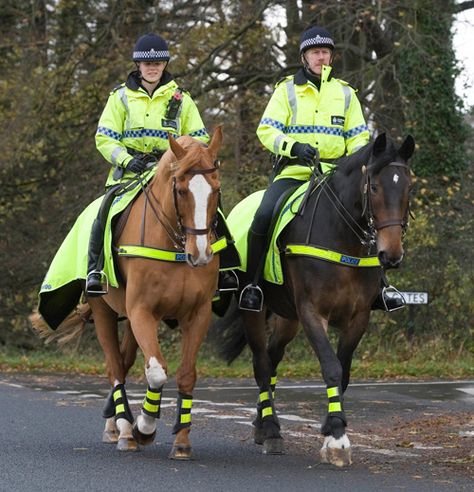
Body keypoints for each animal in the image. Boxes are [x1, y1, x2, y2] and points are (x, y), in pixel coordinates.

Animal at [34, 129, 223, 460]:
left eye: (216, 189)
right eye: (181, 189)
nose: (200, 254)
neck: (174, 246)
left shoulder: (196, 314)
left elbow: (185, 374)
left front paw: (181, 441)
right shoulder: (141, 312)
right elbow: (157, 372)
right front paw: (144, 427)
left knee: (124, 361)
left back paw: (115, 423)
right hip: (104, 313)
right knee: (114, 368)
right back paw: (123, 430)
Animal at [211, 134, 414, 466]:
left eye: (408, 187)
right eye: (373, 186)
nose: (391, 254)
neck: (342, 239)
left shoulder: (358, 317)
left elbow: (344, 371)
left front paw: (331, 428)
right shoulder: (312, 313)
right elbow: (331, 366)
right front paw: (337, 438)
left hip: (287, 318)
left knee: (273, 358)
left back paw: (260, 424)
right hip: (256, 311)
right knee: (262, 364)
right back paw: (271, 430)